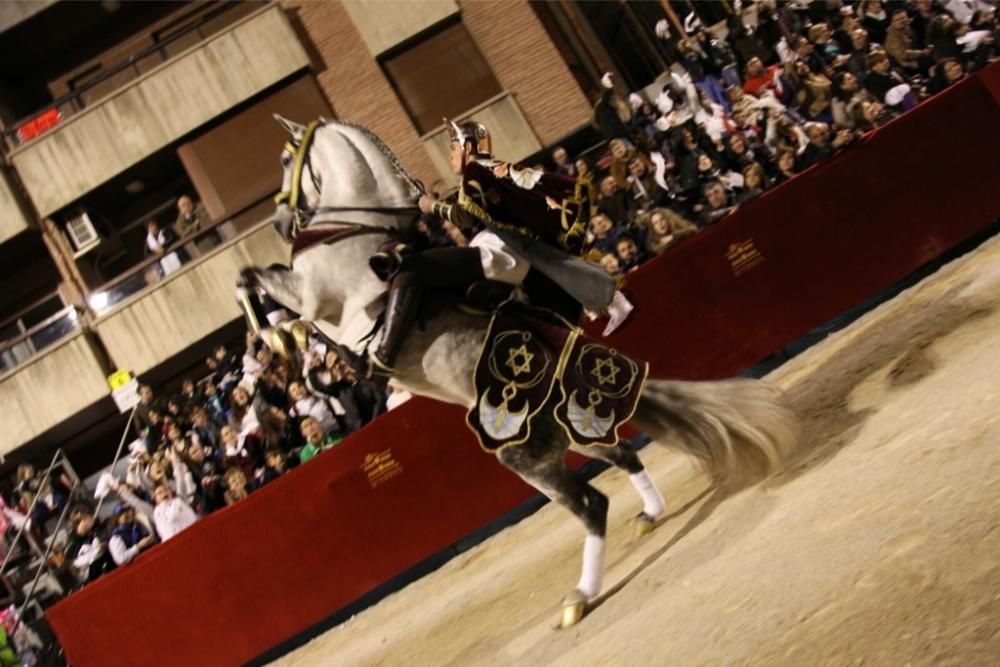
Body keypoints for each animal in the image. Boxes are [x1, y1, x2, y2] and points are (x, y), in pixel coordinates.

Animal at [242, 116, 796, 628]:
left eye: (287, 160)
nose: (279, 222)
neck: (356, 230)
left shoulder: (314, 298)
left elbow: (251, 279)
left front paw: (276, 338)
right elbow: (253, 280)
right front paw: (279, 337)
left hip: (524, 459)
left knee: (592, 504)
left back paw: (580, 598)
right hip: (575, 442)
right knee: (621, 455)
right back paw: (649, 516)